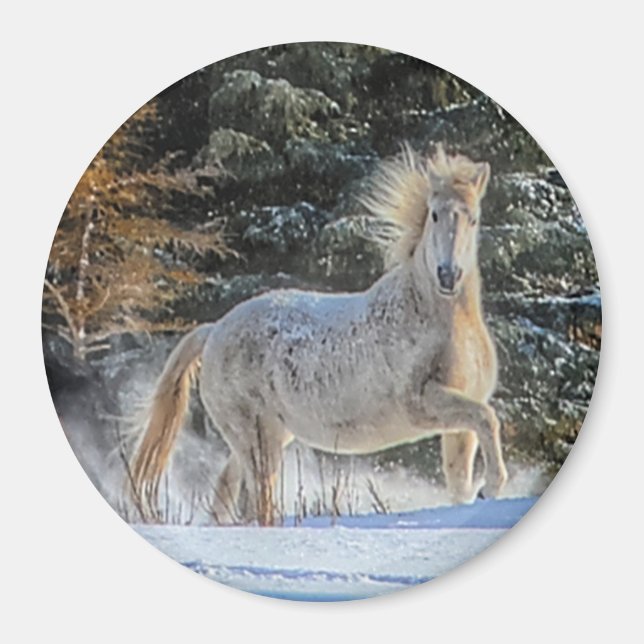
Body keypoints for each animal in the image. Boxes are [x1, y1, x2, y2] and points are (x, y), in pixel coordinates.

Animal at [129, 143, 508, 524]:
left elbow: (460, 479)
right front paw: (491, 486)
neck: (436, 317)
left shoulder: (458, 424)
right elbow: (487, 419)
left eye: (473, 218)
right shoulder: (422, 404)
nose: (448, 275)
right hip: (256, 440)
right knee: (258, 503)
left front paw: (478, 495)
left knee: (226, 492)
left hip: (267, 435)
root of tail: (213, 331)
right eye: (434, 215)